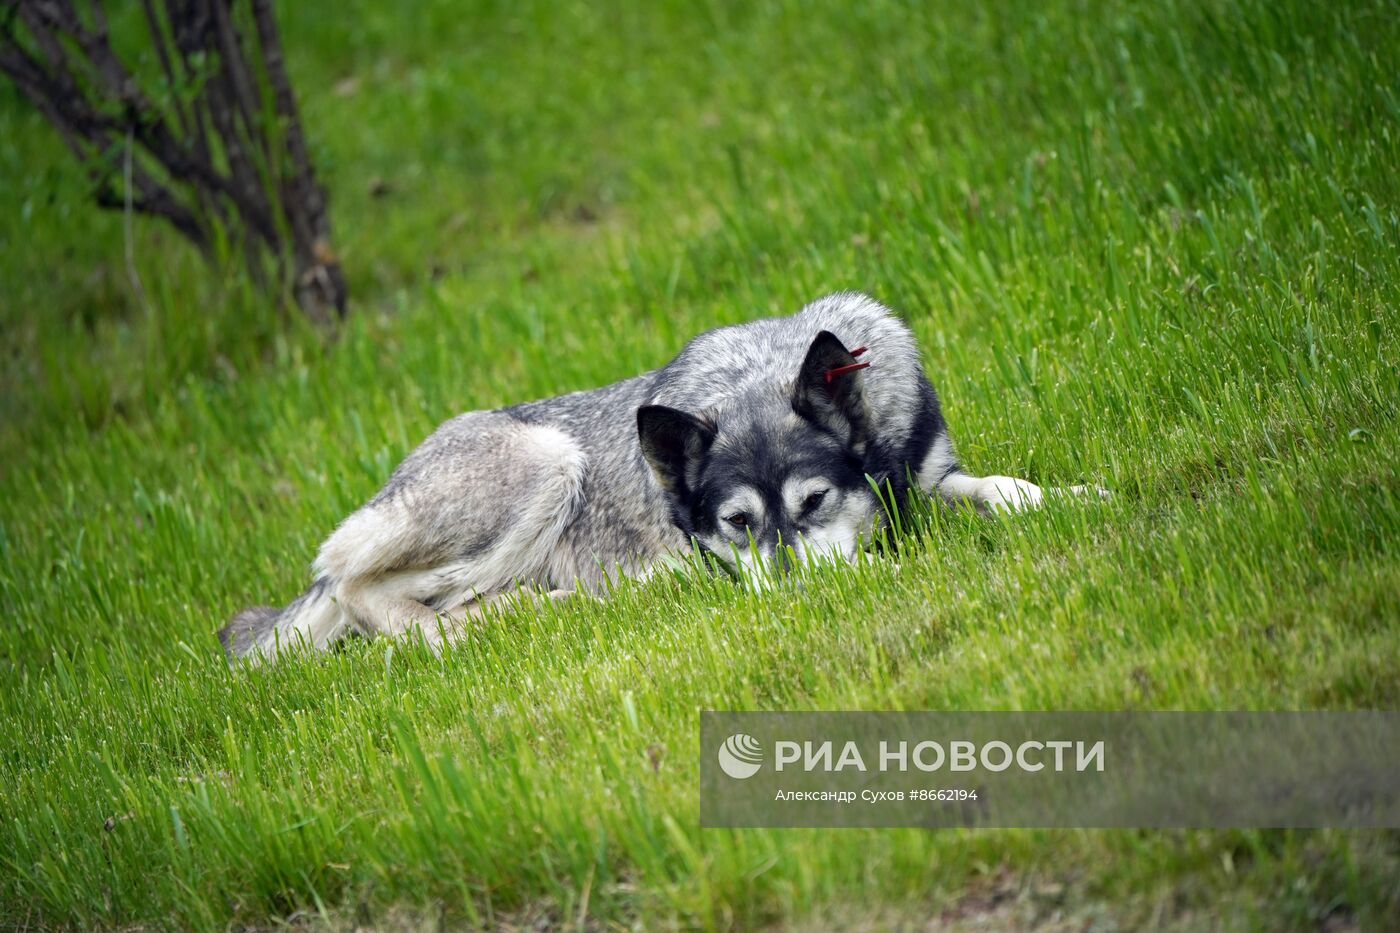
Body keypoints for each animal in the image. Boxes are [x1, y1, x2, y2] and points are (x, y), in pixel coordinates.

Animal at [218, 287, 1097, 658]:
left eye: (813, 500)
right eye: (738, 524)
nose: (796, 597)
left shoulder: (927, 475)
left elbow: (993, 488)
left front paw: (1065, 496)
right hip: (546, 465)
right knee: (362, 589)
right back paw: (483, 625)